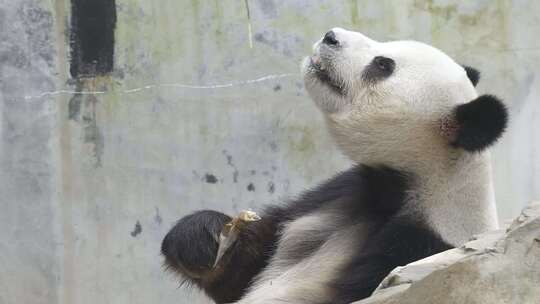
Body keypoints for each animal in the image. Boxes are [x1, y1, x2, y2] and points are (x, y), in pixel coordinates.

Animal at [160, 27, 506, 302]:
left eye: (383, 65)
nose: (331, 36)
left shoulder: (417, 249)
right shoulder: (340, 193)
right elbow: (242, 269)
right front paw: (204, 236)